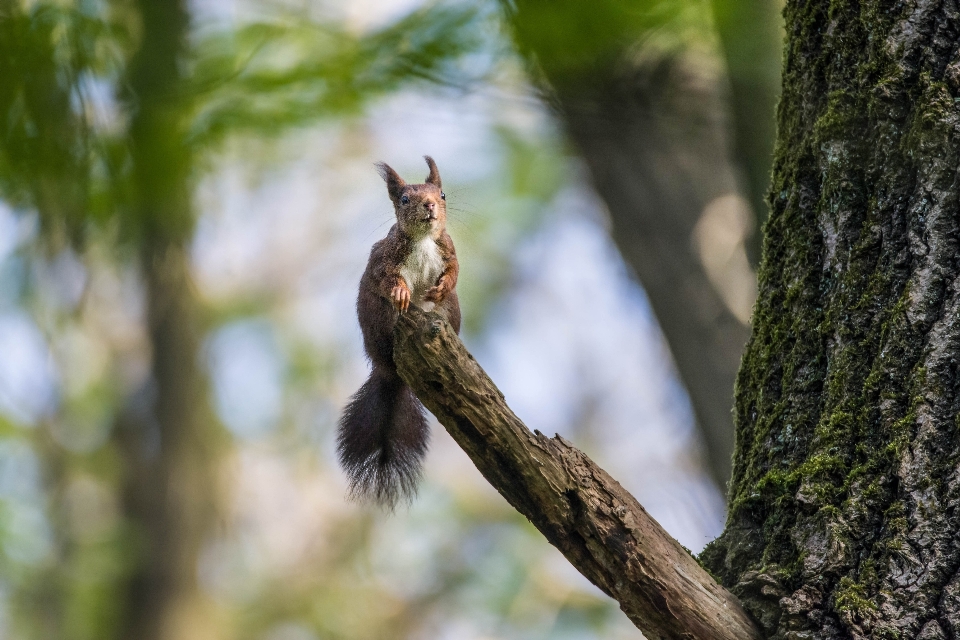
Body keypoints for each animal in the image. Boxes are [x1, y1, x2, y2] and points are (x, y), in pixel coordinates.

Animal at [338, 158, 462, 508]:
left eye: (442, 194)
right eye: (405, 199)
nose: (430, 205)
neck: (423, 240)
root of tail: (390, 373)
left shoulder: (448, 249)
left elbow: (455, 270)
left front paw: (443, 285)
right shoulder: (383, 258)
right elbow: (386, 278)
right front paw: (402, 291)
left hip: (451, 310)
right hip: (378, 317)